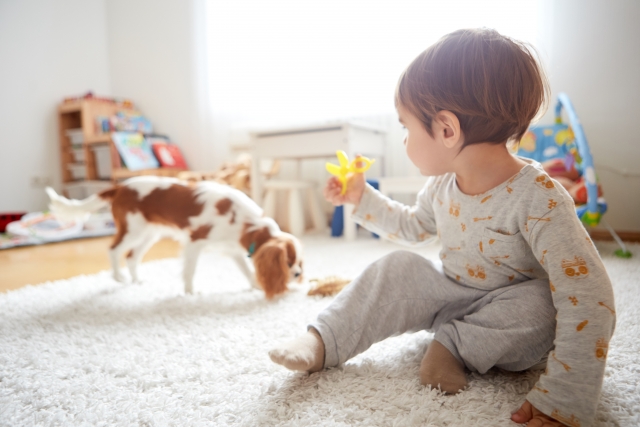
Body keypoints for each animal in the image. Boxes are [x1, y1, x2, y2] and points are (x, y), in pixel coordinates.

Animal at [46, 176, 304, 298]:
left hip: (150, 234)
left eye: (298, 264)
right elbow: (190, 270)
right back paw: (118, 277)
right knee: (114, 249)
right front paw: (190, 293)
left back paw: (136, 280)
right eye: (288, 262)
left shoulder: (231, 248)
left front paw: (256, 285)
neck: (244, 221)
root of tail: (120, 186)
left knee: (131, 256)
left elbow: (247, 270)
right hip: (133, 229)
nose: (297, 275)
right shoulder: (195, 242)